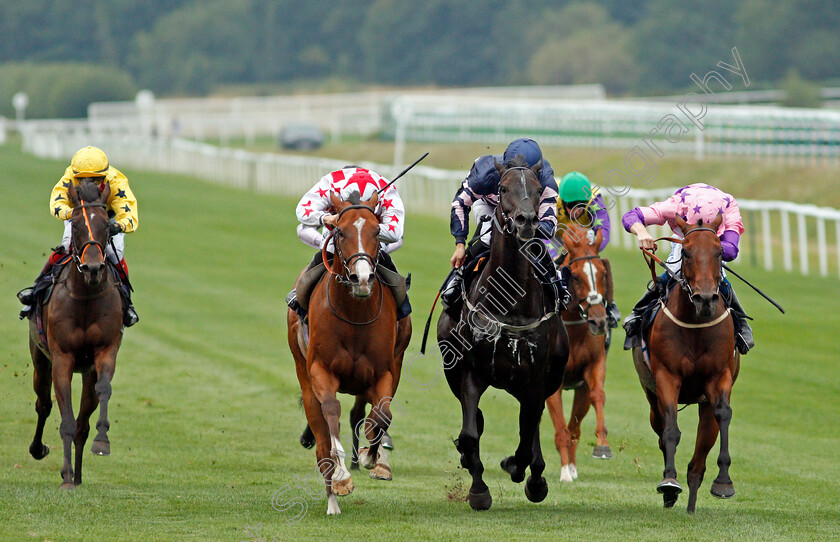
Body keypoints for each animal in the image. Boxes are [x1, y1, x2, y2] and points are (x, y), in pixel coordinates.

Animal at [27, 181, 124, 490]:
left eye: (107, 225)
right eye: (77, 224)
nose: (92, 268)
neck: (86, 297)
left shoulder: (104, 352)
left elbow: (102, 392)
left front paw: (102, 442)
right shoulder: (62, 359)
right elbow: (65, 419)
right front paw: (66, 477)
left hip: (87, 371)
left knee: (83, 421)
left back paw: (79, 475)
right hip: (39, 359)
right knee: (43, 404)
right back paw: (40, 450)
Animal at [286, 192, 410, 520]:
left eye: (377, 231)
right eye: (340, 232)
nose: (361, 278)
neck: (354, 314)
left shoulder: (384, 372)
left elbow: (382, 414)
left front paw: (372, 458)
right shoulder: (320, 370)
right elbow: (331, 413)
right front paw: (343, 474)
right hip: (302, 371)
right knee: (320, 441)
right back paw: (333, 497)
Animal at [436, 158, 568, 516]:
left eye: (536, 190)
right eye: (504, 188)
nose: (526, 221)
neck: (509, 303)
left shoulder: (536, 380)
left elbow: (525, 438)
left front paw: (518, 469)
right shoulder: (470, 372)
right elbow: (470, 433)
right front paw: (478, 490)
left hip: (545, 379)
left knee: (531, 427)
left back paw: (535, 478)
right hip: (453, 369)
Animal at [544, 222, 612, 484]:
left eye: (602, 273)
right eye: (574, 275)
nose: (599, 321)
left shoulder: (593, 368)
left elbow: (598, 395)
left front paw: (602, 445)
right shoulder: (551, 383)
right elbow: (561, 430)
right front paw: (564, 473)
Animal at [632, 215, 740, 516]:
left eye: (719, 252)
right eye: (688, 252)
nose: (705, 299)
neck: (695, 324)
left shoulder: (719, 376)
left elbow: (724, 414)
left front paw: (724, 482)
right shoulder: (666, 377)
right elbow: (670, 429)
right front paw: (669, 481)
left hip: (704, 406)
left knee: (698, 460)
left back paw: (692, 504)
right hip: (651, 396)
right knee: (660, 428)